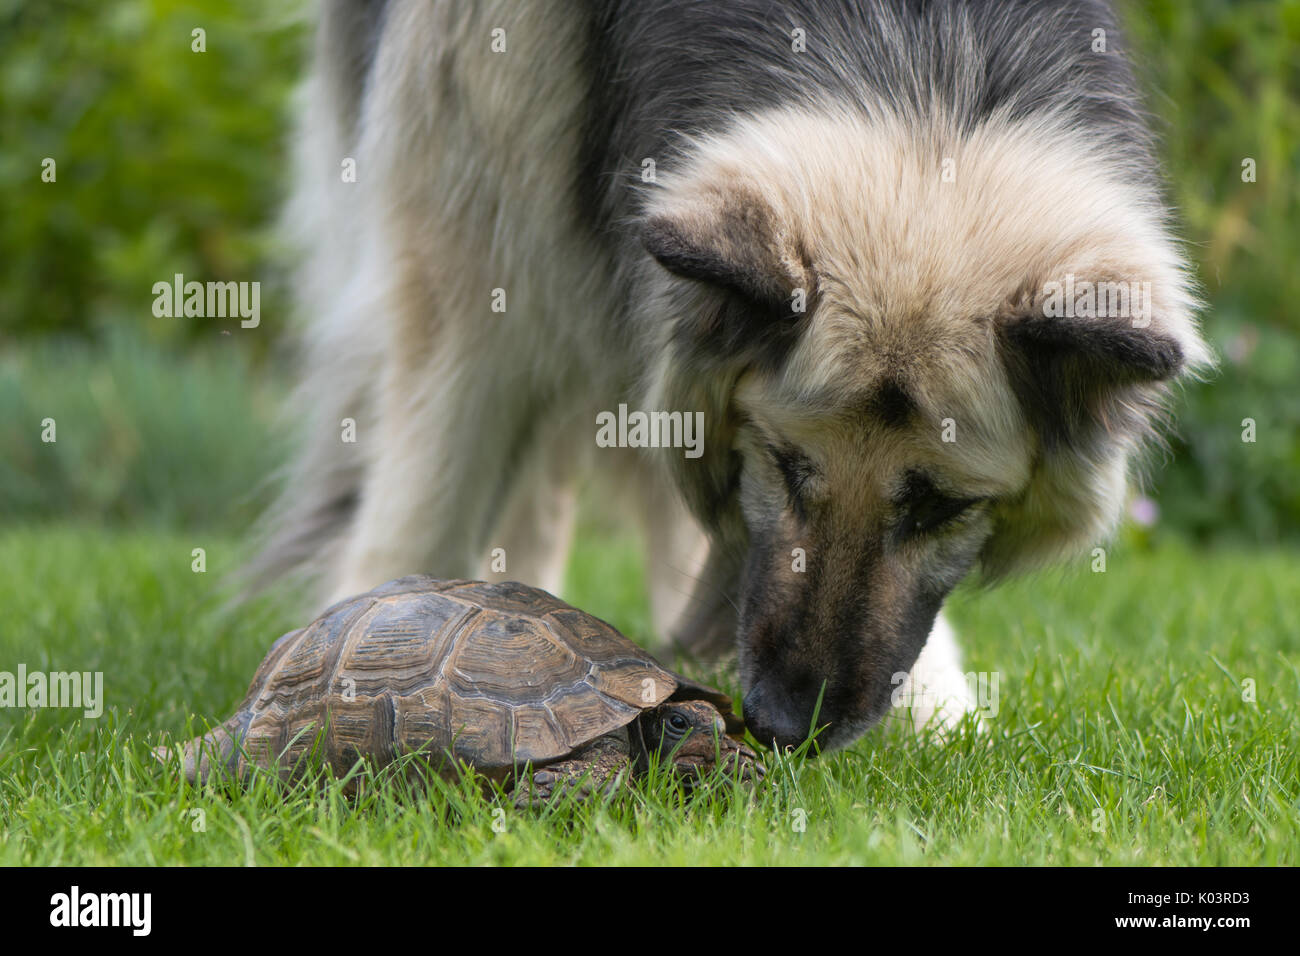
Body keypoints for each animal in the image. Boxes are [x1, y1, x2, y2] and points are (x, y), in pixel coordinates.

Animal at [250, 1, 1206, 754]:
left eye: (942, 507)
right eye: (785, 464)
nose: (785, 724)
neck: (924, 43)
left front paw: (935, 706)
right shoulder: (472, 231)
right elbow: (433, 480)